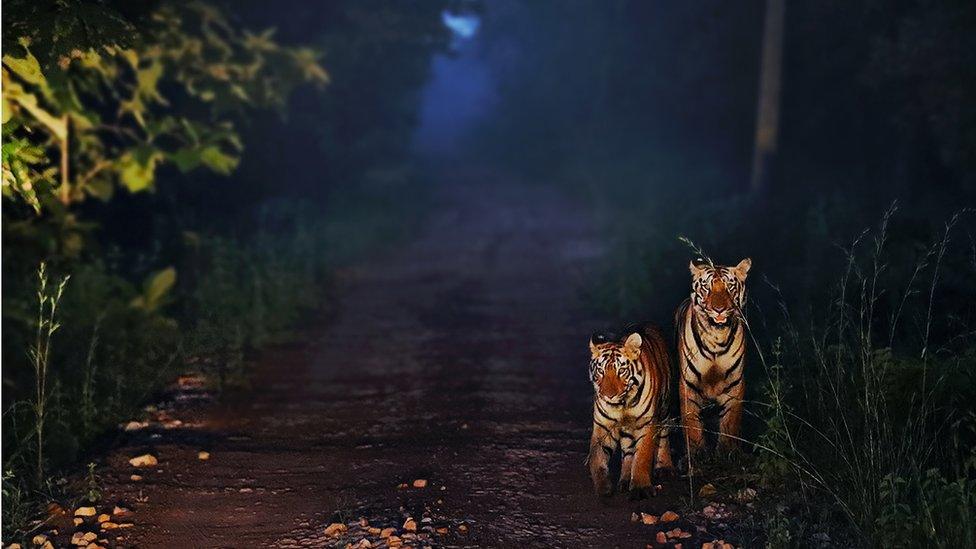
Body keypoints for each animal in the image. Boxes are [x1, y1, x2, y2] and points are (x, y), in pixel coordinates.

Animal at [588, 324, 672, 498]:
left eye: (621, 371)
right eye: (601, 371)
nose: (609, 395)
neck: (623, 404)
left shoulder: (648, 423)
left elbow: (642, 456)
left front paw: (640, 487)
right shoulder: (603, 426)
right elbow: (597, 457)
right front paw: (603, 487)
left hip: (665, 408)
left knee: (664, 437)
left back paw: (665, 467)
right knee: (627, 451)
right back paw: (625, 479)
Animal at [676, 256, 752, 454]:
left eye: (729, 287)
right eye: (706, 287)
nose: (719, 309)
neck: (717, 337)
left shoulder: (735, 385)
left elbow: (729, 424)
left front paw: (727, 451)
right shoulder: (688, 385)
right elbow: (692, 425)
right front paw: (698, 453)